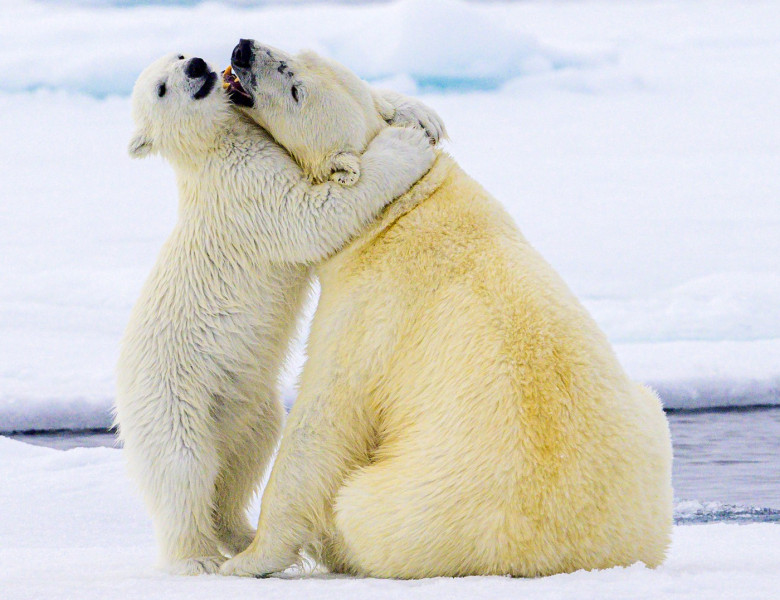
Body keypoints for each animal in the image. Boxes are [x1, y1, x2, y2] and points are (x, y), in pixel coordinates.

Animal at [113, 54, 442, 576]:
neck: (214, 147)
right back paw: (197, 557)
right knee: (182, 469)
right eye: (162, 88)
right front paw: (405, 145)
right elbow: (311, 214)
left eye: (179, 55)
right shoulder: (247, 191)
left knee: (244, 457)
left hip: (242, 402)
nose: (199, 66)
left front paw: (420, 113)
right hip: (170, 396)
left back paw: (243, 533)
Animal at [221, 41, 676, 576]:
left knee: (356, 508)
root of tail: (561, 554)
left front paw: (248, 559)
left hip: (407, 508)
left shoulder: (368, 310)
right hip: (648, 443)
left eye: (295, 88)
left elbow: (323, 419)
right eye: (299, 50)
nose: (244, 49)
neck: (401, 210)